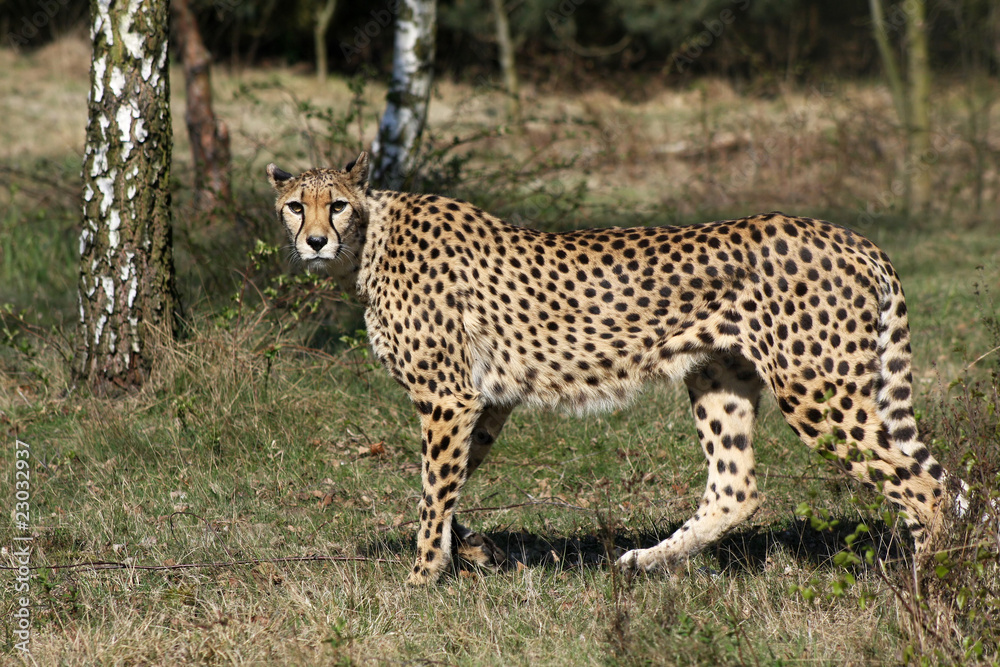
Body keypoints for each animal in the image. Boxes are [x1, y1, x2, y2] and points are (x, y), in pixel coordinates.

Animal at [267, 152, 958, 585]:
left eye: (337, 205)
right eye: (296, 206)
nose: (315, 241)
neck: (368, 243)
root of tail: (848, 235)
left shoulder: (448, 397)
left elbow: (434, 490)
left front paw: (419, 579)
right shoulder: (484, 401)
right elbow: (448, 483)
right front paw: (473, 551)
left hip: (817, 390)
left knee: (925, 489)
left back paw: (924, 589)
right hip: (719, 377)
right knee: (738, 488)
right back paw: (642, 563)